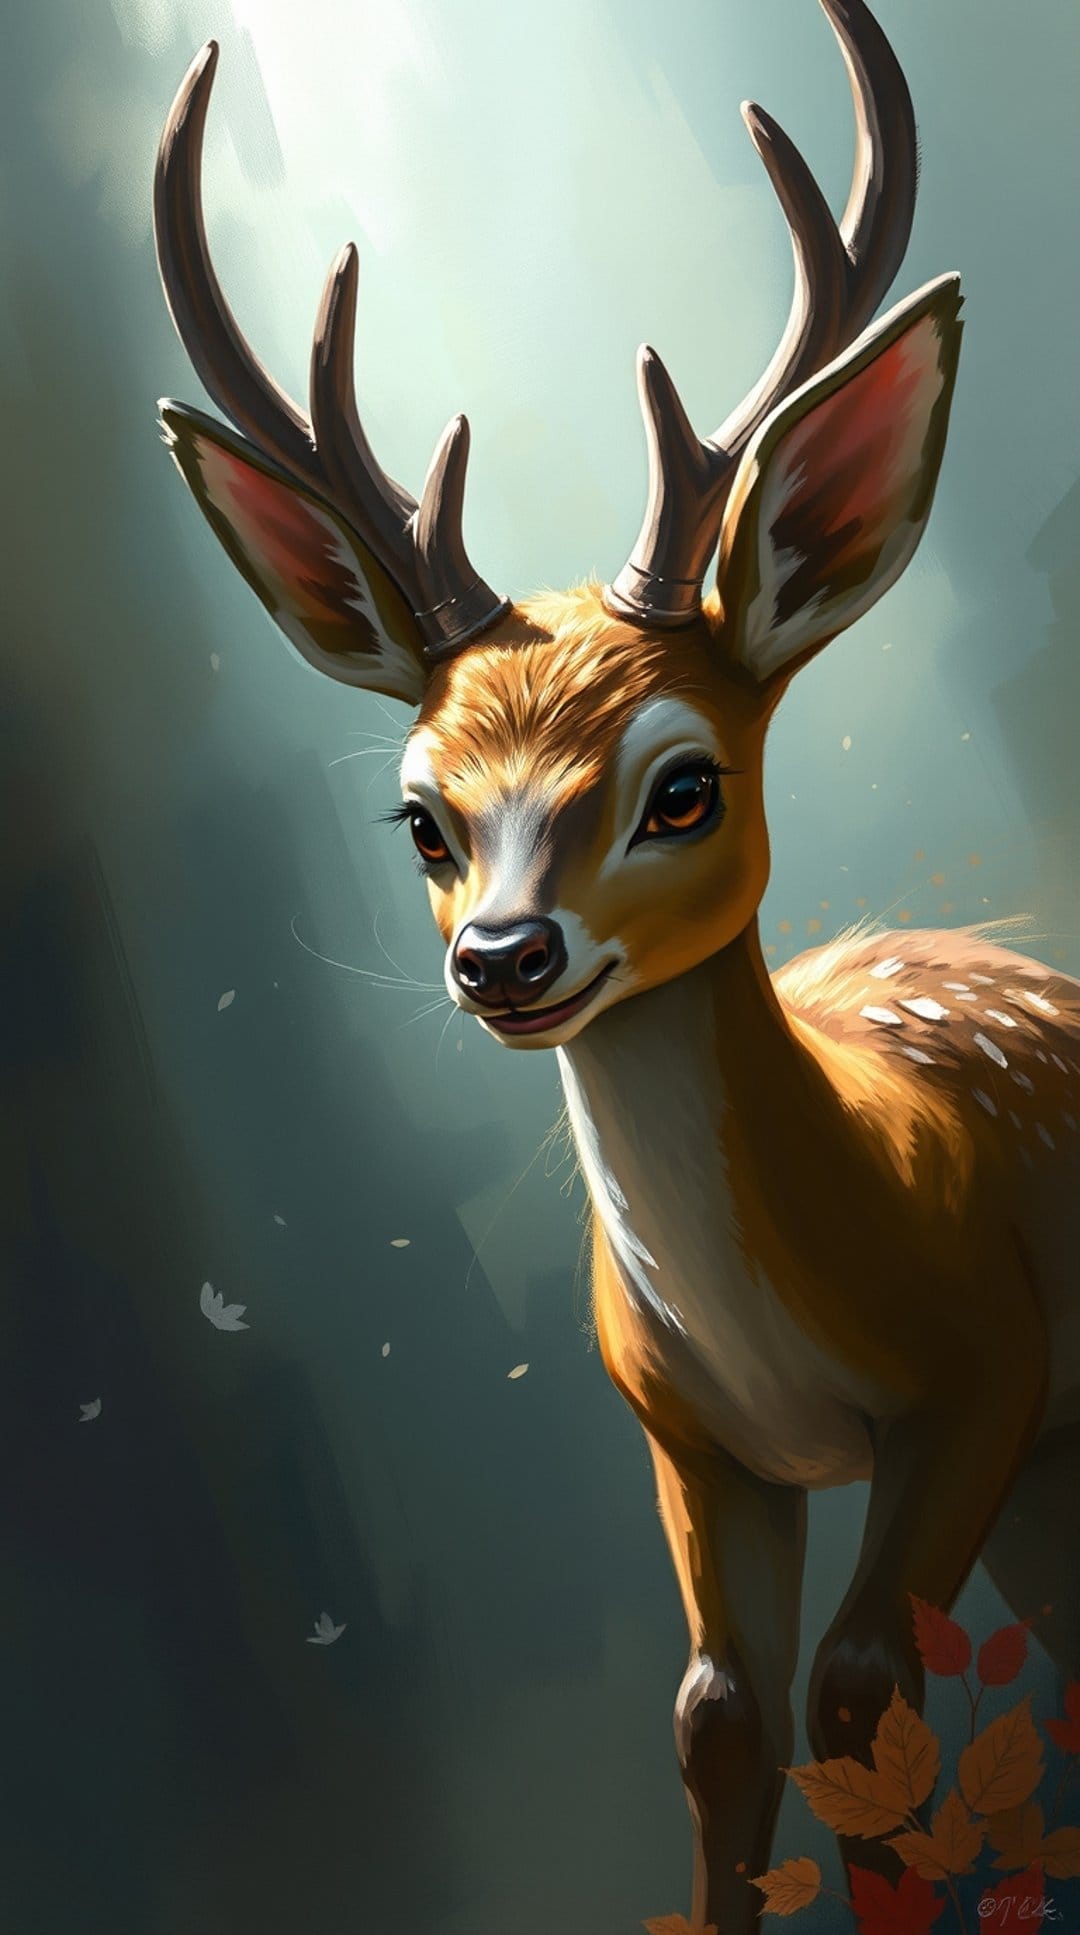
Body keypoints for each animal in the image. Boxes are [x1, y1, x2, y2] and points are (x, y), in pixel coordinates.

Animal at [153, 4, 1080, 1928]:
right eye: (421, 818)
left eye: (683, 783)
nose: (506, 959)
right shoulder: (685, 1432)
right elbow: (720, 1714)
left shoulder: (986, 1373)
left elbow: (864, 1696)